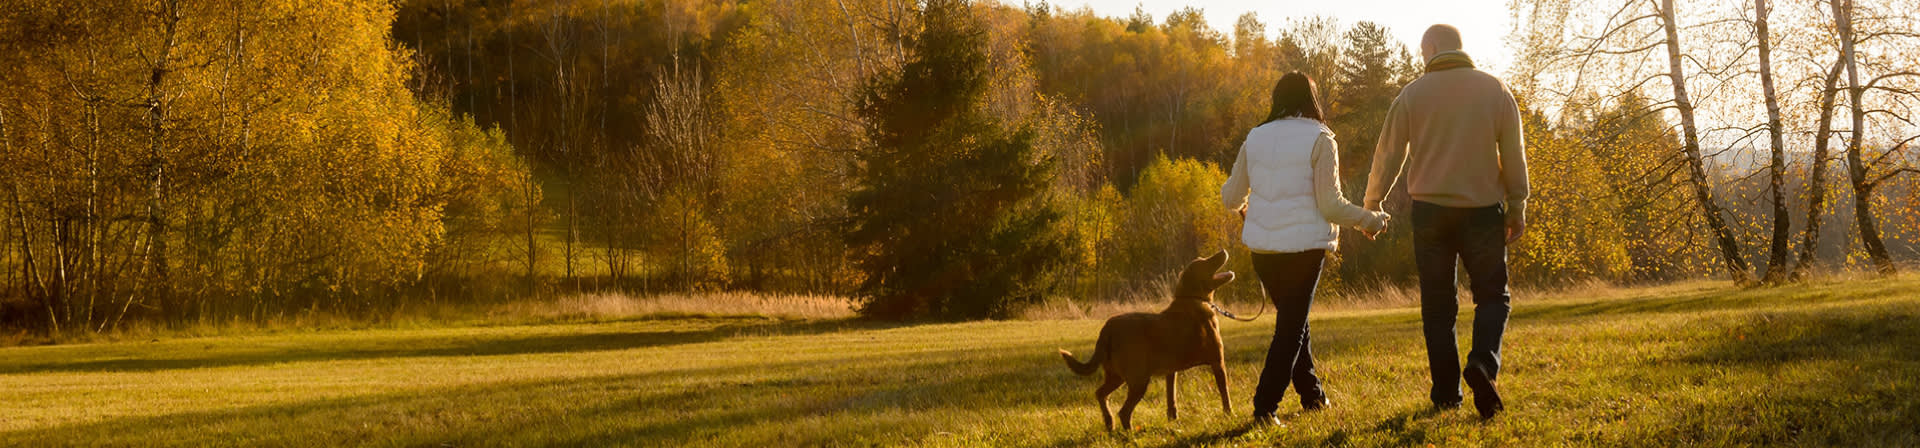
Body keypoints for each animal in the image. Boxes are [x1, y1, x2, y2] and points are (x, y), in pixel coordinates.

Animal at [1059, 249, 1236, 428]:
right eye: (1205, 262)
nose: (1223, 251)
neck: (1194, 299)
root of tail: (1108, 328)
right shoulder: (1217, 362)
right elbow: (1225, 394)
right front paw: (1230, 415)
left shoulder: (1171, 371)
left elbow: (1171, 398)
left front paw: (1173, 420)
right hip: (1139, 380)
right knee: (1124, 411)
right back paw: (1129, 432)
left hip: (1116, 376)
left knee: (1100, 394)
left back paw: (1109, 423)